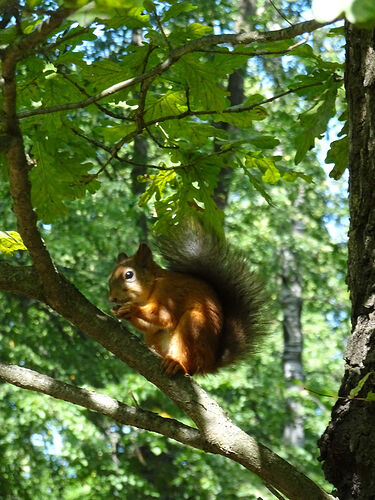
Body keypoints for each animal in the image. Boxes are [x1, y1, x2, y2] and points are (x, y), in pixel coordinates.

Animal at [108, 223, 268, 376]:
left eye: (129, 275)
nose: (111, 298)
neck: (153, 285)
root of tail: (209, 364)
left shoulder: (169, 293)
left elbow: (164, 316)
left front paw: (130, 309)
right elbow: (154, 326)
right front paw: (121, 312)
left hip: (194, 325)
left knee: (189, 363)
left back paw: (177, 364)